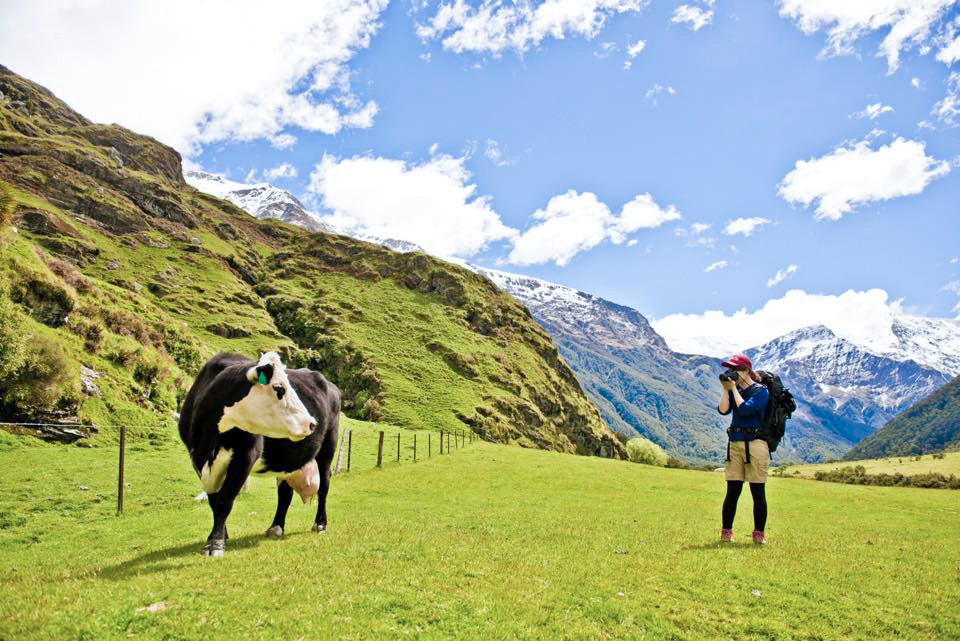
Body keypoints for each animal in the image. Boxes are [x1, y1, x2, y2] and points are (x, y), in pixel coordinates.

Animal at [177, 350, 342, 556]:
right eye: (279, 388)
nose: (311, 423)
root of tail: (330, 384)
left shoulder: (245, 456)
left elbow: (224, 500)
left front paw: (214, 544)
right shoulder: (197, 460)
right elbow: (214, 500)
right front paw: (221, 535)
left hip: (328, 447)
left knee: (324, 486)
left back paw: (320, 524)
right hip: (286, 462)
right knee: (285, 493)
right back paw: (276, 527)